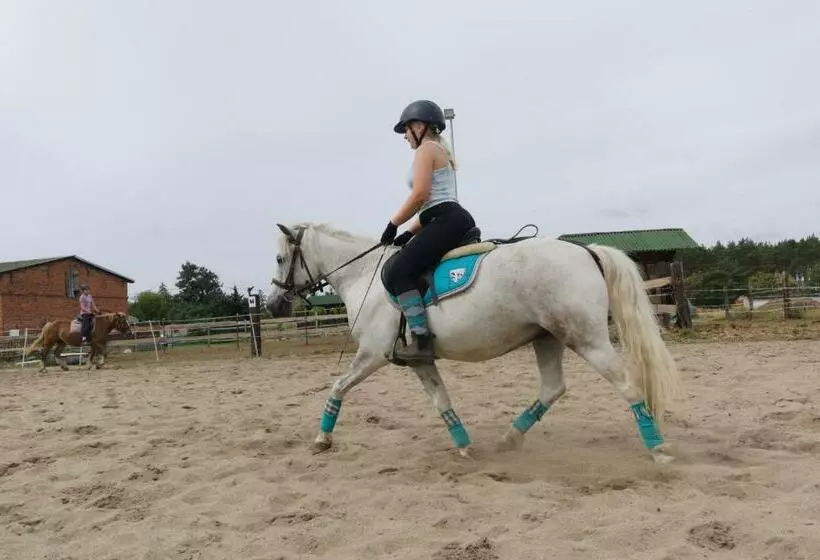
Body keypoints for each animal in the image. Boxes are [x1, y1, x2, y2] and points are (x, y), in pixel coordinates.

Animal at [267, 221, 685, 464]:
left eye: (279, 258)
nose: (273, 305)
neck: (364, 274)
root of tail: (586, 250)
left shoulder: (372, 354)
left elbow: (338, 387)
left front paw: (322, 439)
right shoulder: (420, 361)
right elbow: (442, 402)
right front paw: (465, 445)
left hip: (587, 339)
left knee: (628, 385)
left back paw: (658, 448)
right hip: (547, 338)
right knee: (553, 388)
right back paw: (509, 439)